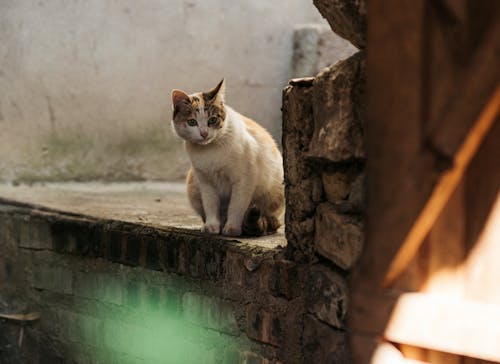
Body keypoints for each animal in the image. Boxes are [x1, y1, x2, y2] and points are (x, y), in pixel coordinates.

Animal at [170, 79, 284, 237]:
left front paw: (232, 228)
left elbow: (236, 207)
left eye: (212, 120)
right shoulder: (205, 182)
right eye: (192, 122)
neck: (210, 151)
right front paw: (212, 226)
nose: (204, 133)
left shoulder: (244, 180)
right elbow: (210, 205)